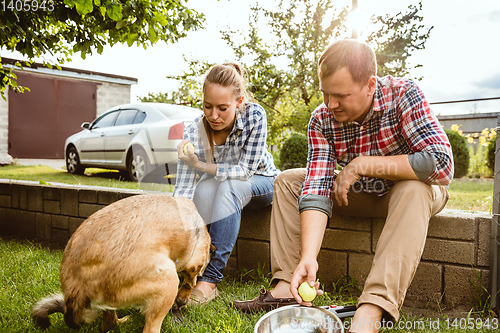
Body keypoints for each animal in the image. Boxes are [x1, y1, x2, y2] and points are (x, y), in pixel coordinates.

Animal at [31, 193, 211, 330]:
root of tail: (77, 289)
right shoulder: (193, 264)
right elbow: (190, 281)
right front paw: (184, 297)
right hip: (168, 281)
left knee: (109, 324)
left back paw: (121, 322)